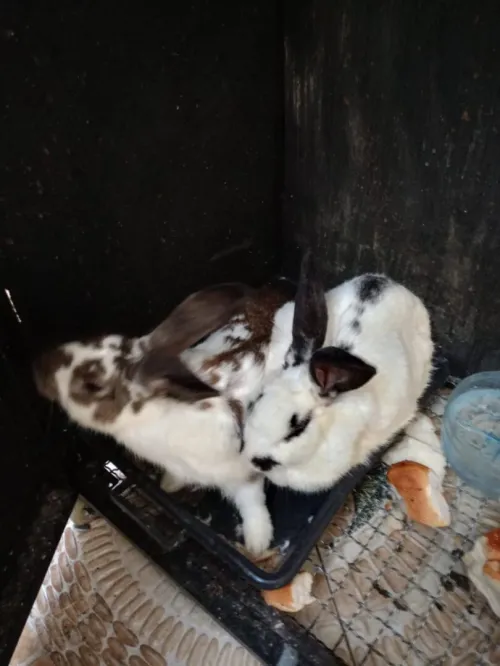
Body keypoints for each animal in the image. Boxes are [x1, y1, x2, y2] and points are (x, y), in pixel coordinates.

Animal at [33, 279, 296, 555]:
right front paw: (169, 485)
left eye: (92, 385)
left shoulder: (242, 472)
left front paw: (258, 542)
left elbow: (252, 502)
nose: (39, 366)